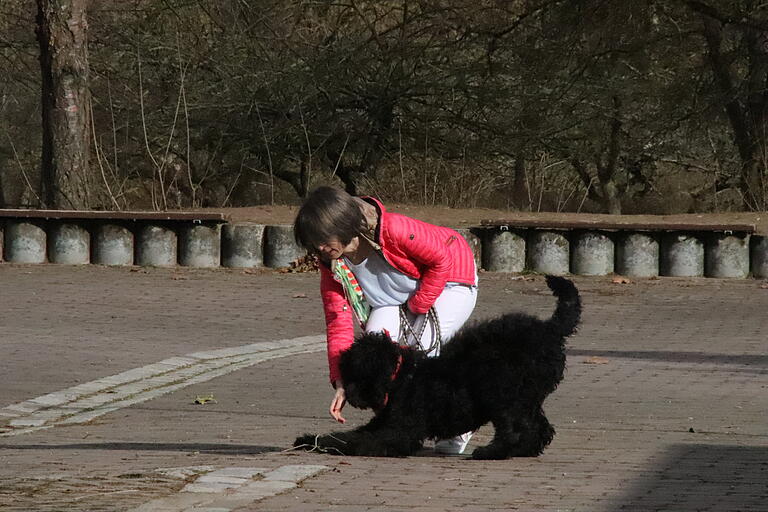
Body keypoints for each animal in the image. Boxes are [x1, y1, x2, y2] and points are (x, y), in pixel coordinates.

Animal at [296, 276, 584, 460]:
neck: (401, 378)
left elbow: (357, 441)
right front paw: (311, 440)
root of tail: (549, 329)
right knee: (540, 427)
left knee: (513, 428)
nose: (351, 396)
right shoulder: (382, 423)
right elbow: (346, 434)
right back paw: (524, 450)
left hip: (501, 391)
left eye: (357, 373)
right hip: (527, 396)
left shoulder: (399, 432)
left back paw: (492, 453)